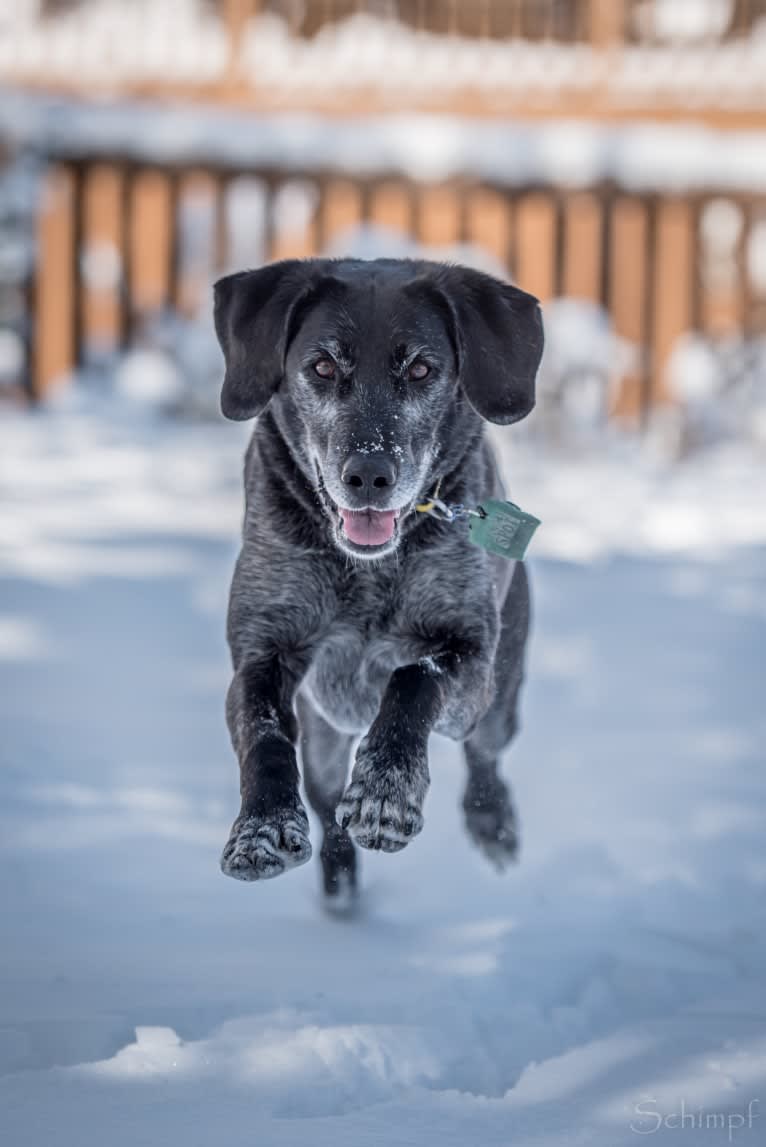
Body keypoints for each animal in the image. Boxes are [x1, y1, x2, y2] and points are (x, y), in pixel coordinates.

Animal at [212, 258, 541, 903]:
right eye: (321, 366)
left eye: (420, 368)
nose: (367, 473)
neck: (366, 572)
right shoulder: (262, 651)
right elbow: (264, 735)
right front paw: (262, 829)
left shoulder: (470, 656)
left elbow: (413, 680)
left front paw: (386, 794)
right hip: (324, 739)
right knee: (324, 800)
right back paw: (339, 881)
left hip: (500, 699)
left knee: (485, 758)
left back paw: (492, 824)